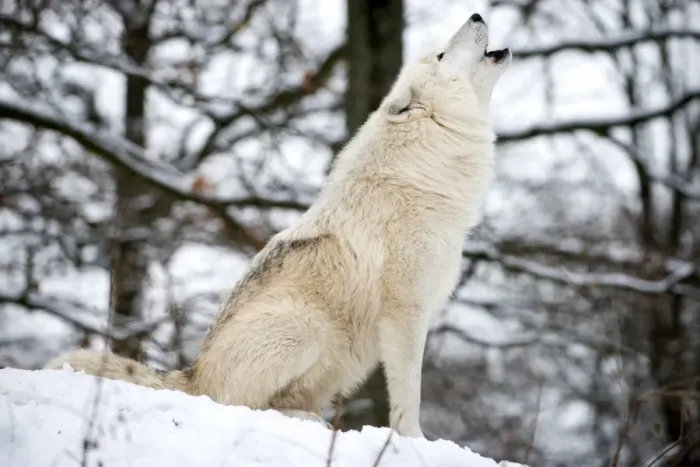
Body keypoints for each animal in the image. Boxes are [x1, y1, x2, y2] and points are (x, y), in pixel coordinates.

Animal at [45, 13, 510, 438]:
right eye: (442, 54)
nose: (476, 14)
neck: (423, 173)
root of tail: (192, 375)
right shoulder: (406, 312)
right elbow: (409, 393)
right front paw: (413, 441)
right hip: (304, 328)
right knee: (241, 405)